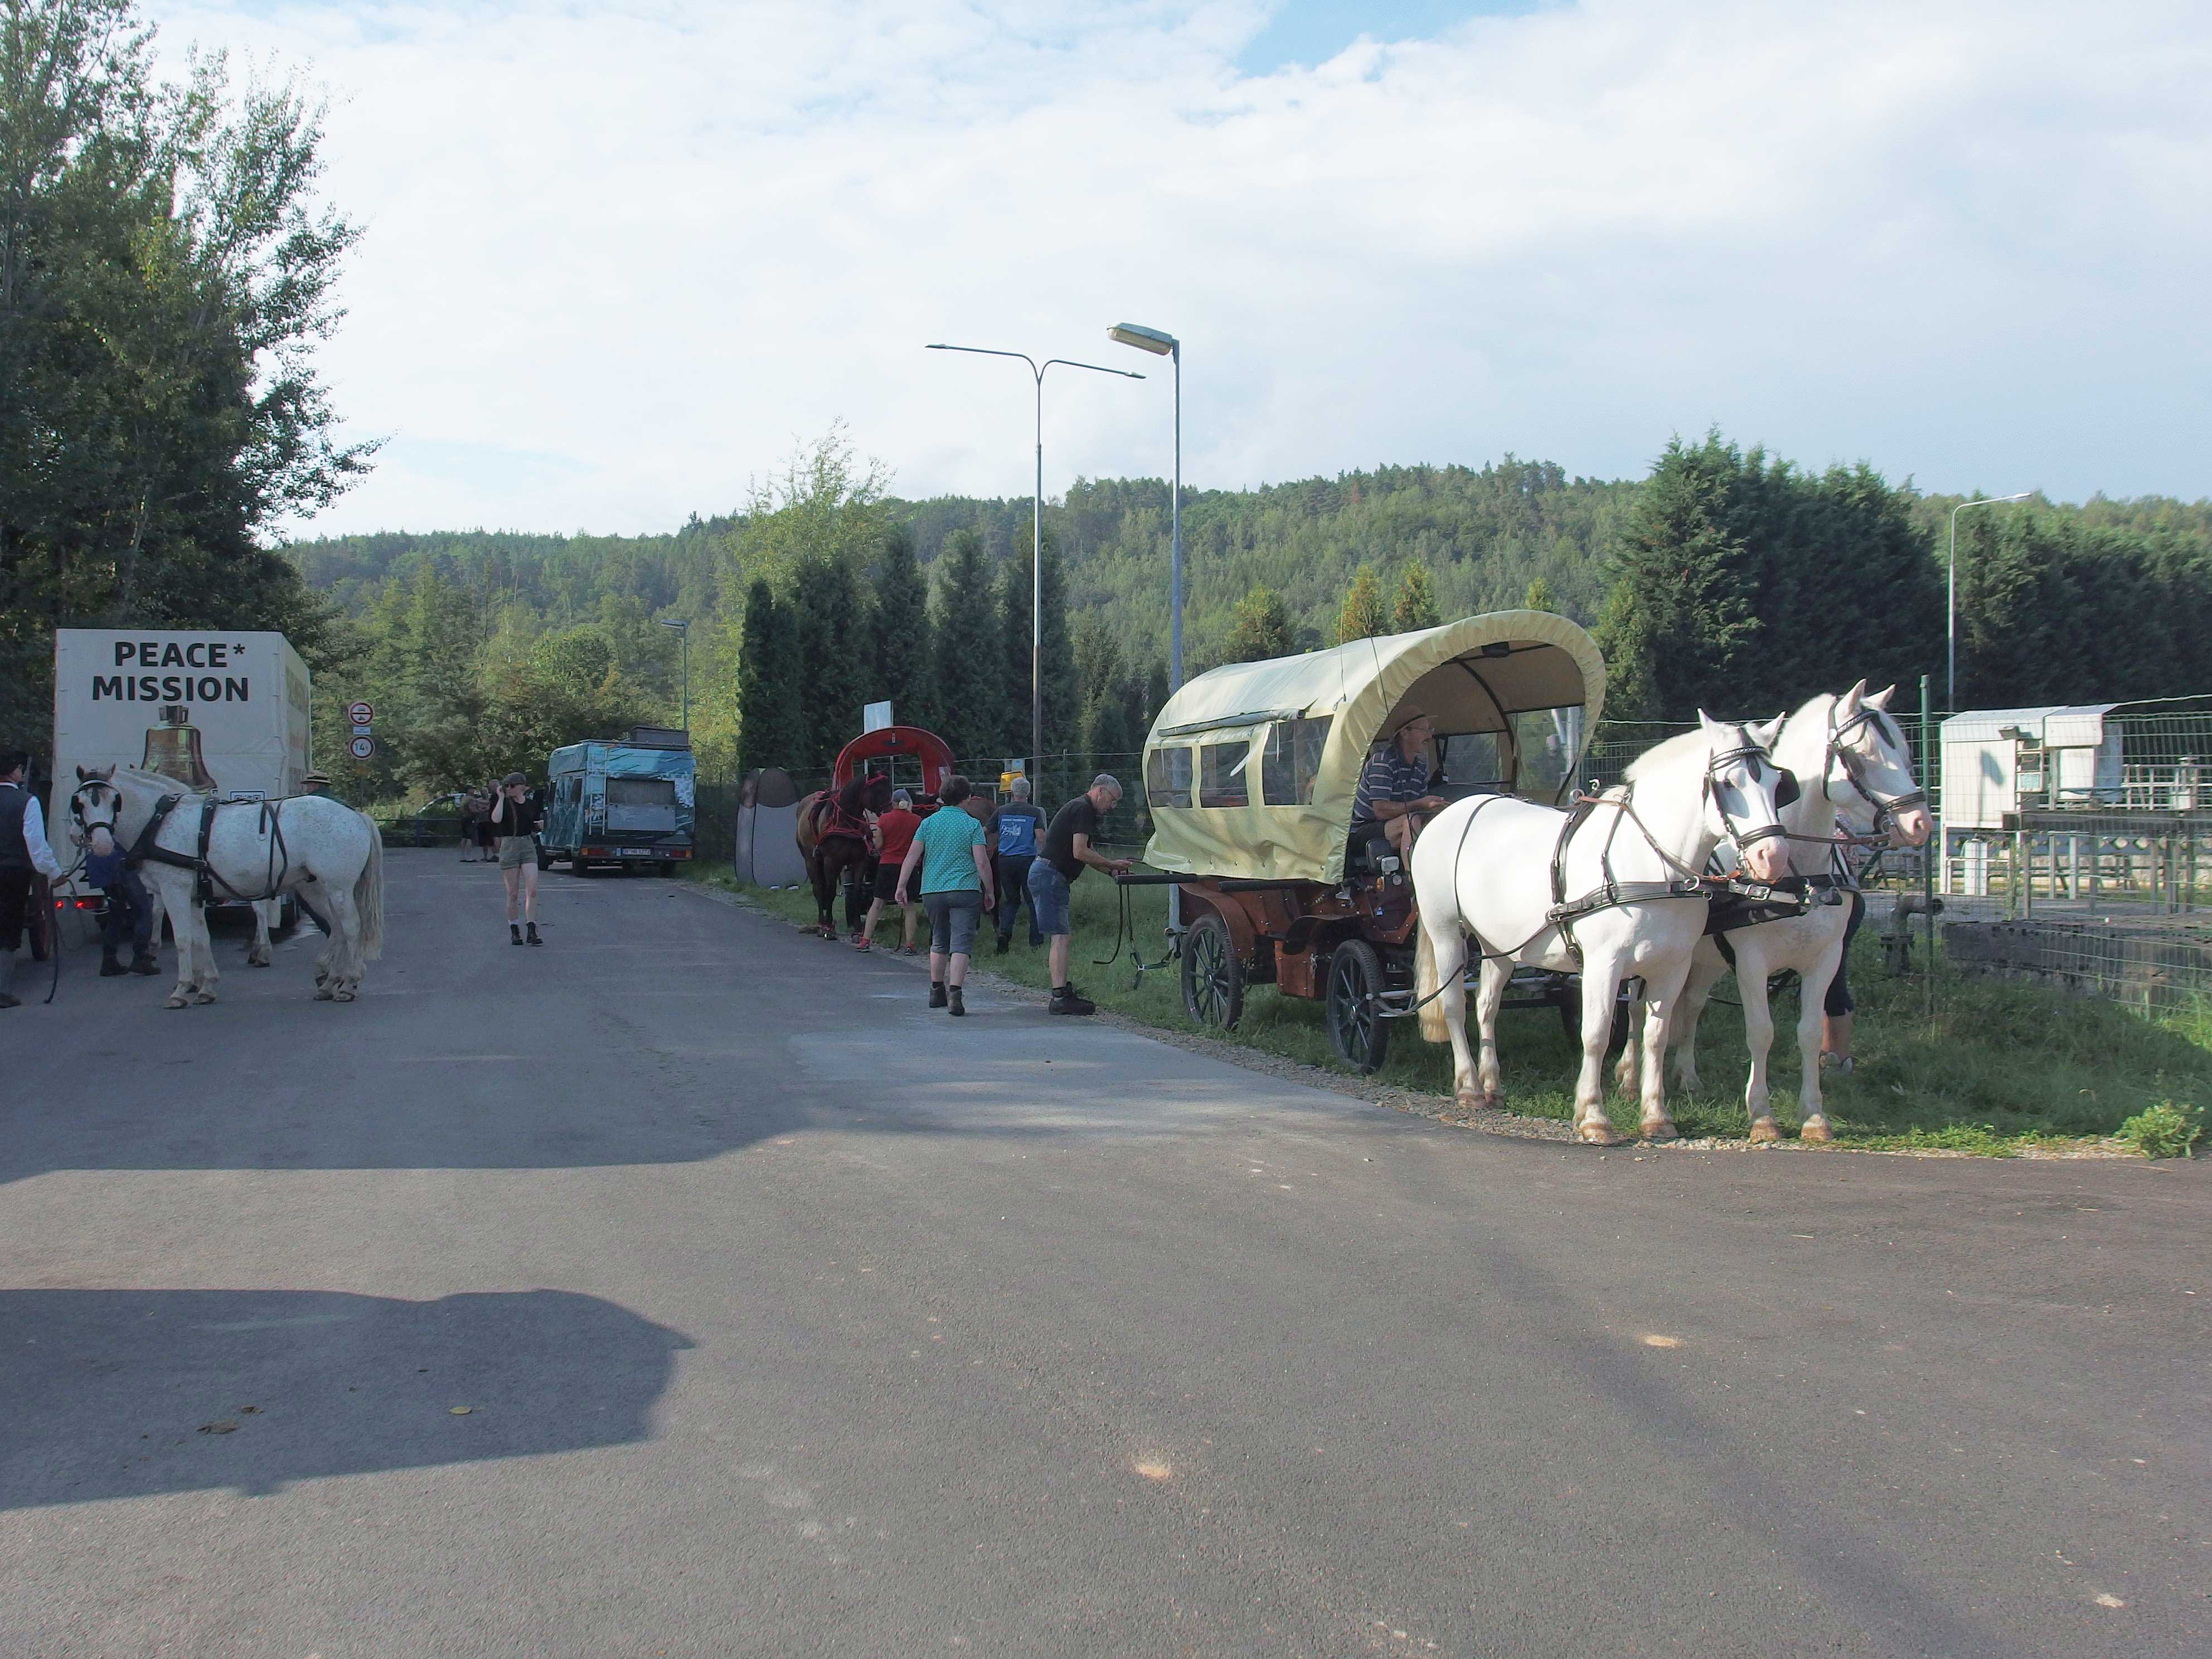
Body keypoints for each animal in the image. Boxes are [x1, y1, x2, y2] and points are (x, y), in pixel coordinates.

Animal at [71, 769, 387, 1013]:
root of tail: (356, 815)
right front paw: (206, 988)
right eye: (81, 804)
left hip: (338, 887)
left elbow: (183, 940)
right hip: (317, 889)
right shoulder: (194, 896)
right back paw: (331, 981)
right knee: (336, 928)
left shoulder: (174, 888)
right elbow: (201, 939)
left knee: (350, 928)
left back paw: (348, 983)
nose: (100, 845)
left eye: (115, 800)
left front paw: (181, 990)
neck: (159, 822)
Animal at [801, 778, 894, 942]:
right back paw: (821, 925)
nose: (890, 811)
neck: (845, 822)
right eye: (877, 790)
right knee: (819, 889)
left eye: (889, 788)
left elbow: (856, 893)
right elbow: (830, 893)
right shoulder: (831, 862)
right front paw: (829, 929)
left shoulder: (860, 862)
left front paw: (857, 931)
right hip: (812, 862)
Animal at [1415, 716, 1796, 1141]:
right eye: (1728, 784)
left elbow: (1656, 1036)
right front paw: (1593, 1114)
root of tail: (1453, 811)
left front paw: (1656, 1115)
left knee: (1486, 1006)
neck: (1651, 864)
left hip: (1498, 943)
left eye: (1777, 784)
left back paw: (1491, 1085)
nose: (1772, 857)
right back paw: (1468, 1086)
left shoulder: (1672, 967)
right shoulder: (1604, 963)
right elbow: (1595, 1035)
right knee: (1453, 1004)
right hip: (1446, 932)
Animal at [1619, 681, 1929, 1150]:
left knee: (1691, 1006)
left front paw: (1815, 1116)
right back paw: (1628, 1077)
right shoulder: (1752, 962)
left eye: (1907, 753)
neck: (1798, 877)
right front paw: (1762, 1116)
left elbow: (1809, 1032)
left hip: (1704, 960)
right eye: (1861, 757)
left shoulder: (1825, 960)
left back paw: (1688, 1077)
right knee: (1638, 1010)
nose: (1919, 823)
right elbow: (1761, 1032)